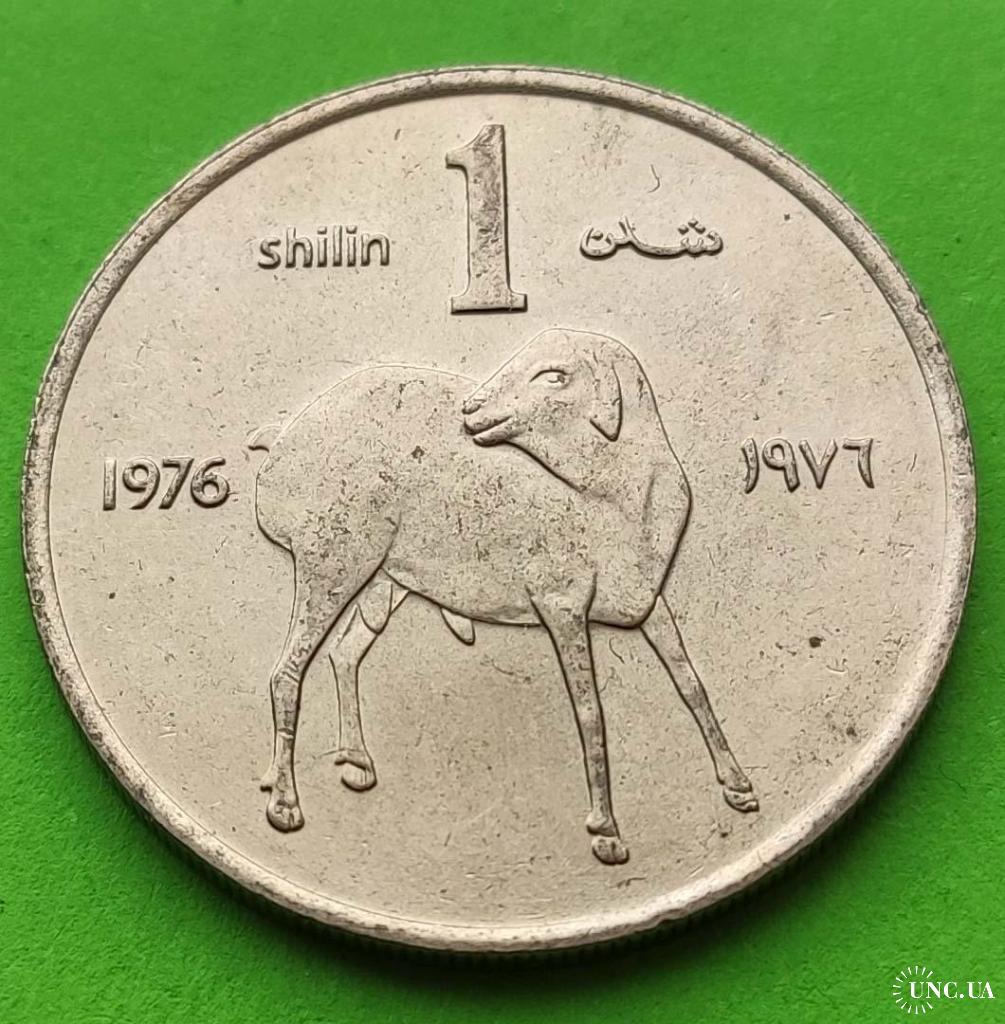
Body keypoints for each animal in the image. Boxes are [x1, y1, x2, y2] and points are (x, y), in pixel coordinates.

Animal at [250, 327, 758, 866]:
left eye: (553, 375)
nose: (472, 408)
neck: (608, 503)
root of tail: (282, 445)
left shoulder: (650, 607)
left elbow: (692, 686)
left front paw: (739, 787)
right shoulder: (562, 609)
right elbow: (591, 714)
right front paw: (606, 833)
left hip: (385, 586)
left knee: (343, 654)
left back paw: (356, 763)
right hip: (333, 570)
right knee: (286, 672)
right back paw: (284, 802)